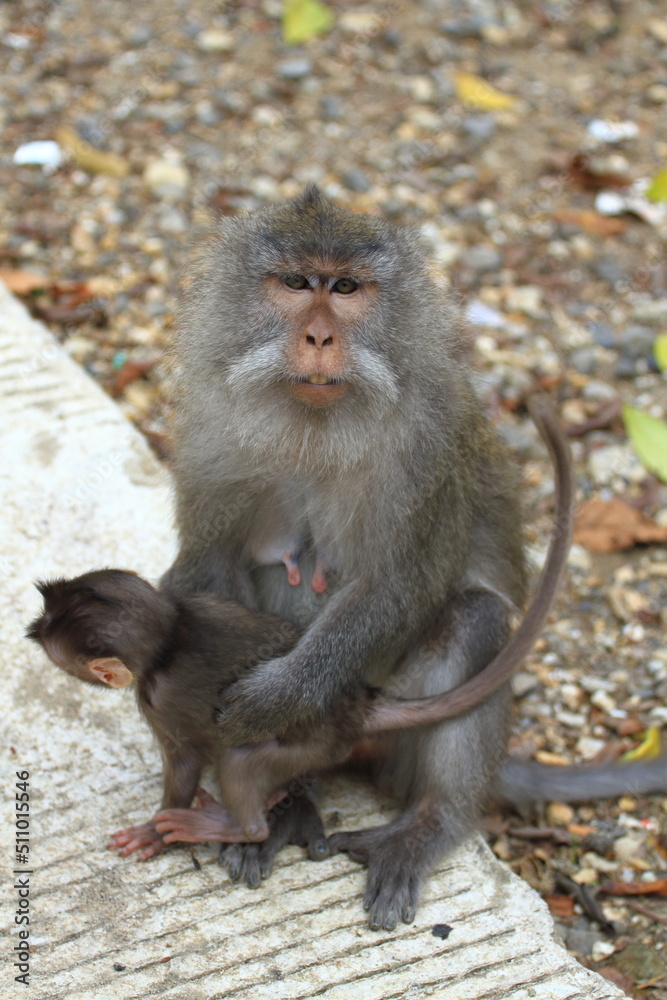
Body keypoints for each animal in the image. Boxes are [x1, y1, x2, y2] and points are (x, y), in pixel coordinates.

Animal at [153, 187, 664, 930]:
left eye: (345, 289)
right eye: (295, 283)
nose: (318, 338)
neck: (315, 424)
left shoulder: (427, 446)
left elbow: (399, 585)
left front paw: (274, 698)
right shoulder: (208, 429)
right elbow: (206, 567)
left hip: (397, 719)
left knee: (475, 619)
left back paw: (429, 821)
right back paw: (288, 800)